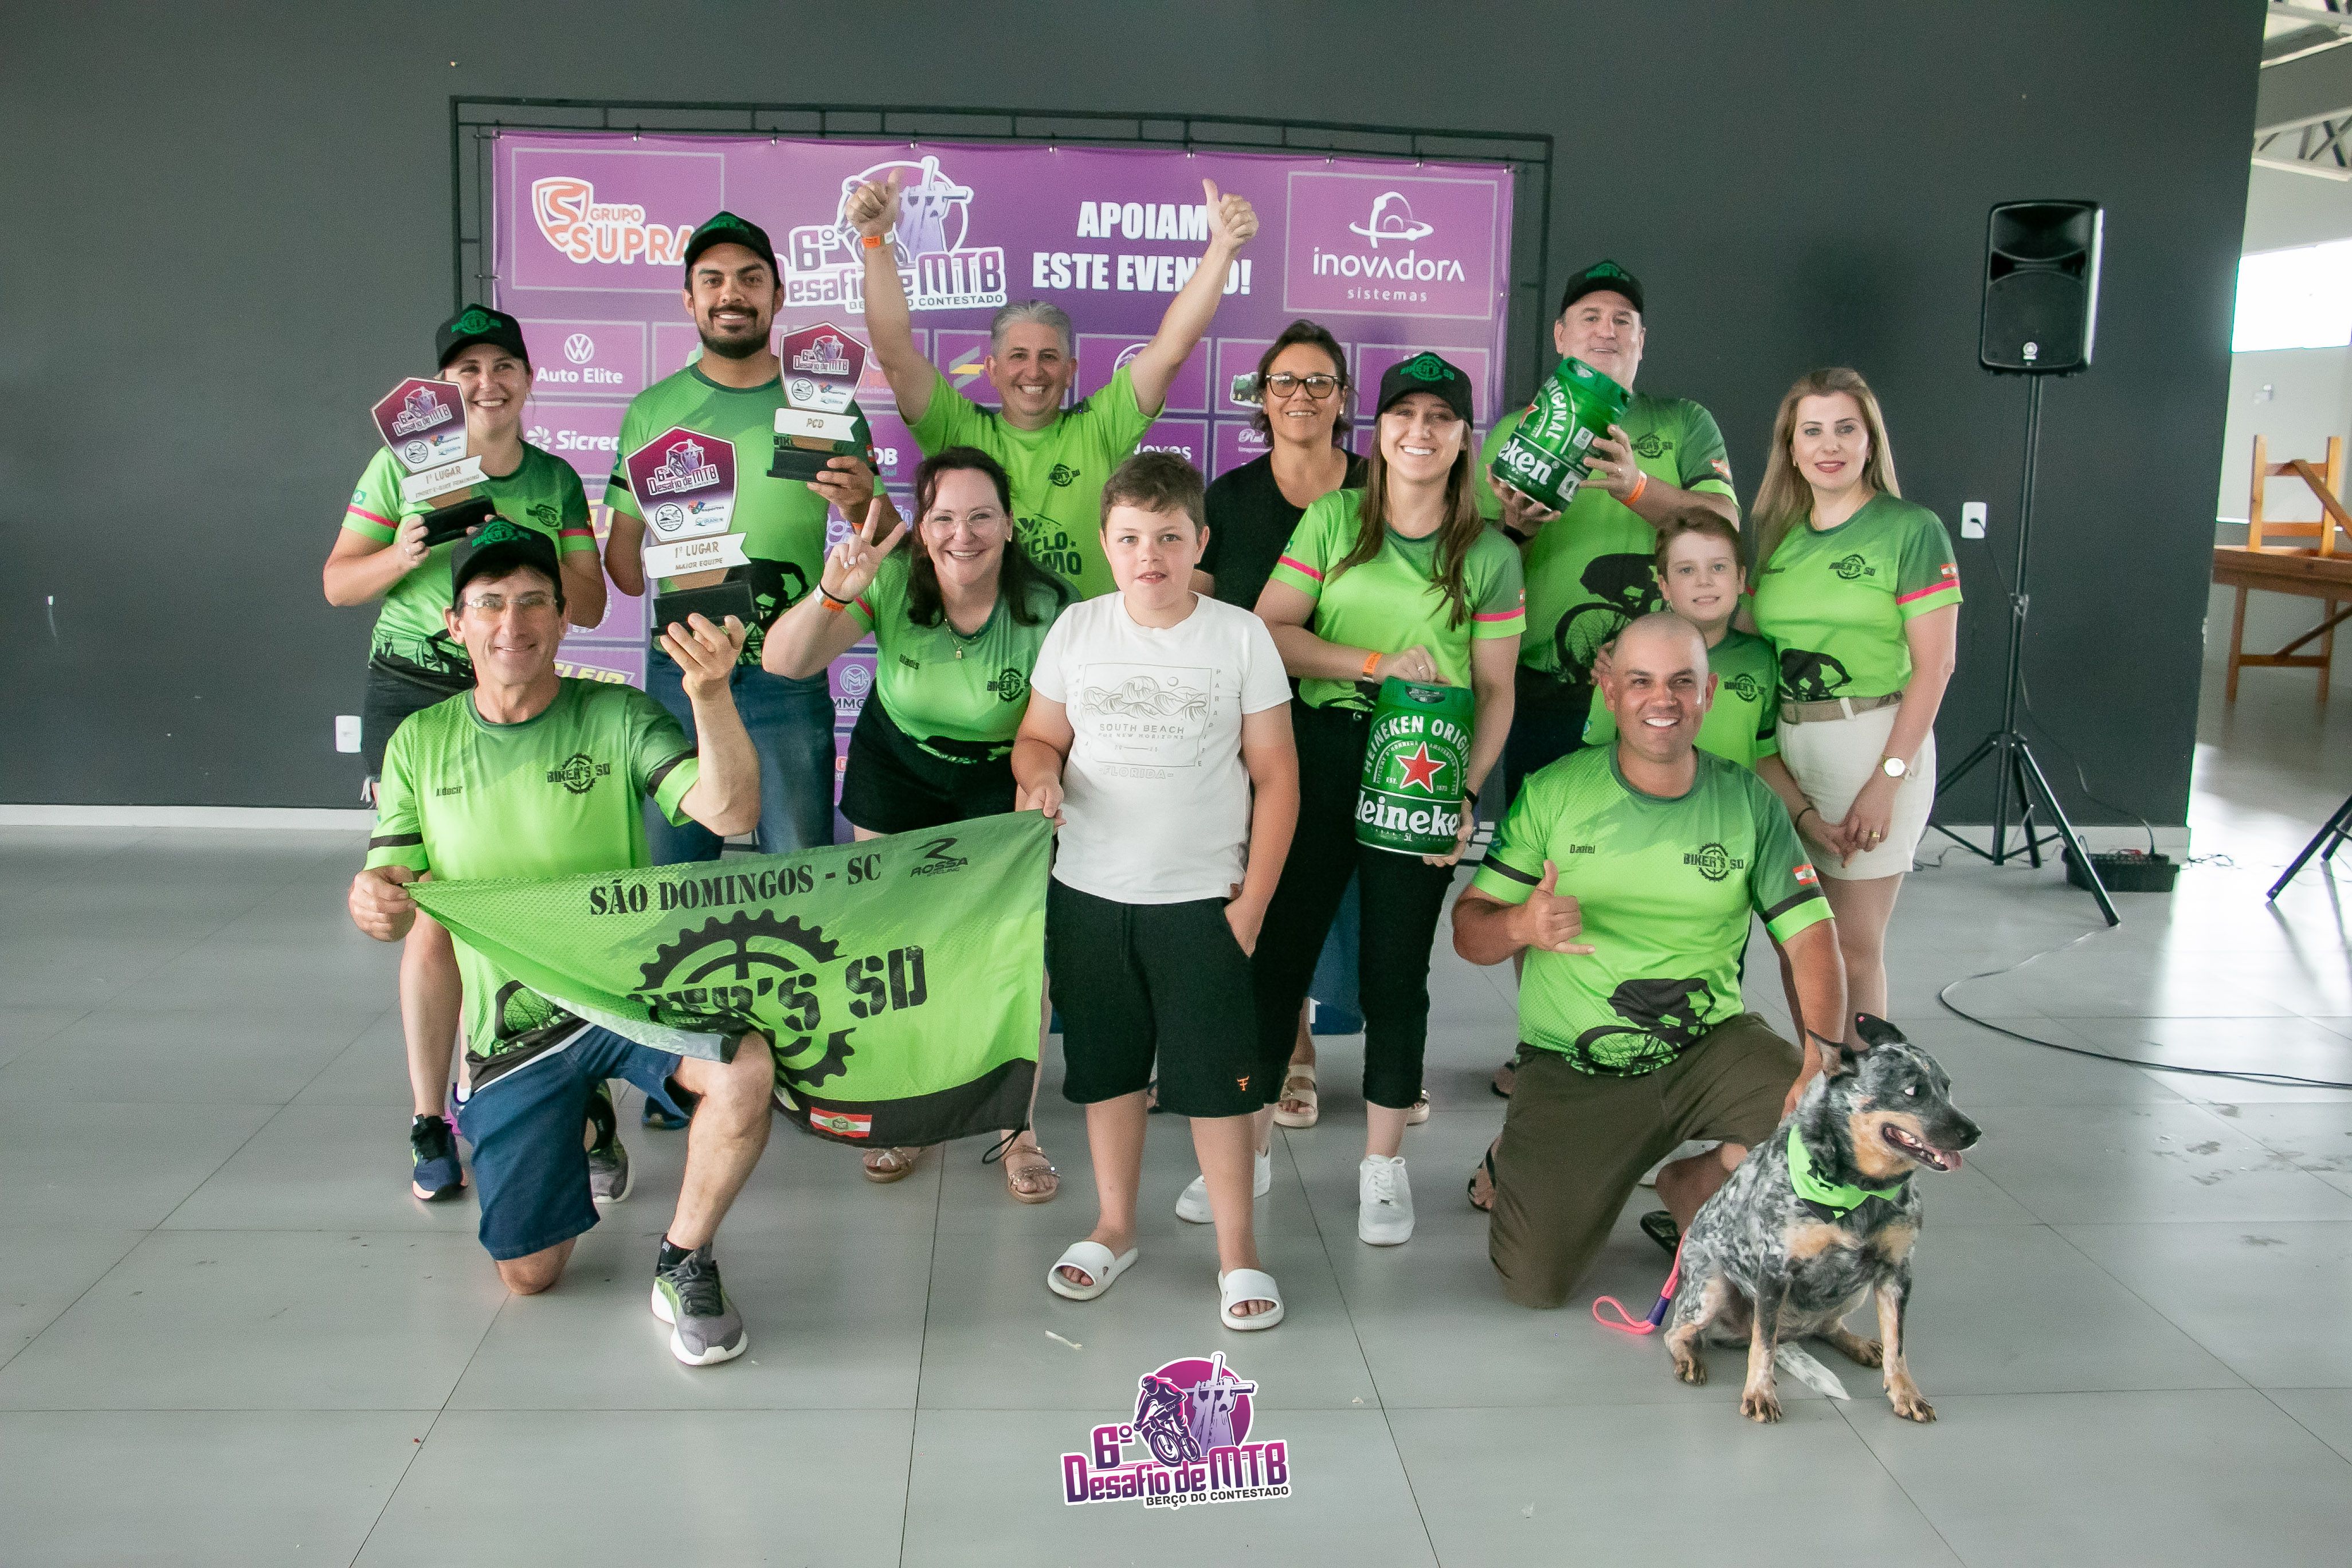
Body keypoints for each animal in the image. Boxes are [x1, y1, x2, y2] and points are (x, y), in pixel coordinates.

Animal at [1664, 1014, 1980, 1423]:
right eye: (1912, 1091)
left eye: (1947, 1087)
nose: (1974, 1133)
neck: (1861, 1190)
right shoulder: (1775, 1271)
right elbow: (1762, 1347)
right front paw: (1759, 1393)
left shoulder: (1897, 1272)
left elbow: (1898, 1345)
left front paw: (1906, 1394)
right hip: (1713, 1288)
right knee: (1685, 1332)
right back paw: (1690, 1358)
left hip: (1855, 1293)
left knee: (1826, 1326)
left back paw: (1858, 1344)